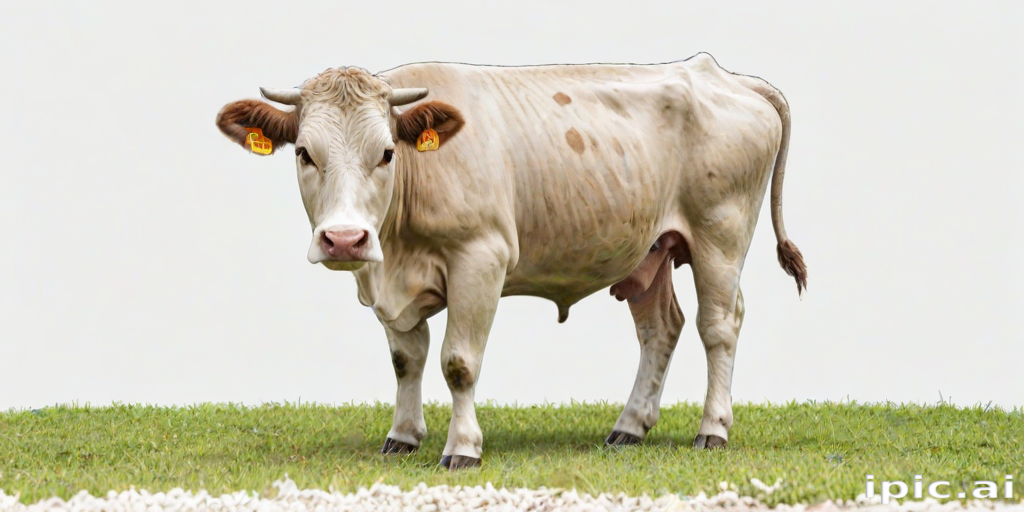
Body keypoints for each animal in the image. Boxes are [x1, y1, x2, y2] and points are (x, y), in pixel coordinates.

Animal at [215, 53, 807, 470]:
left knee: (719, 327)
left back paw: (713, 429)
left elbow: (458, 362)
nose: (344, 239)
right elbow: (406, 359)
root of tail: (719, 73)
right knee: (661, 328)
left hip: (720, 236)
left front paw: (462, 448)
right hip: (651, 251)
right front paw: (402, 436)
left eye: (385, 153)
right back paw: (629, 427)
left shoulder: (480, 257)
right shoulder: (384, 279)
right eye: (303, 153)